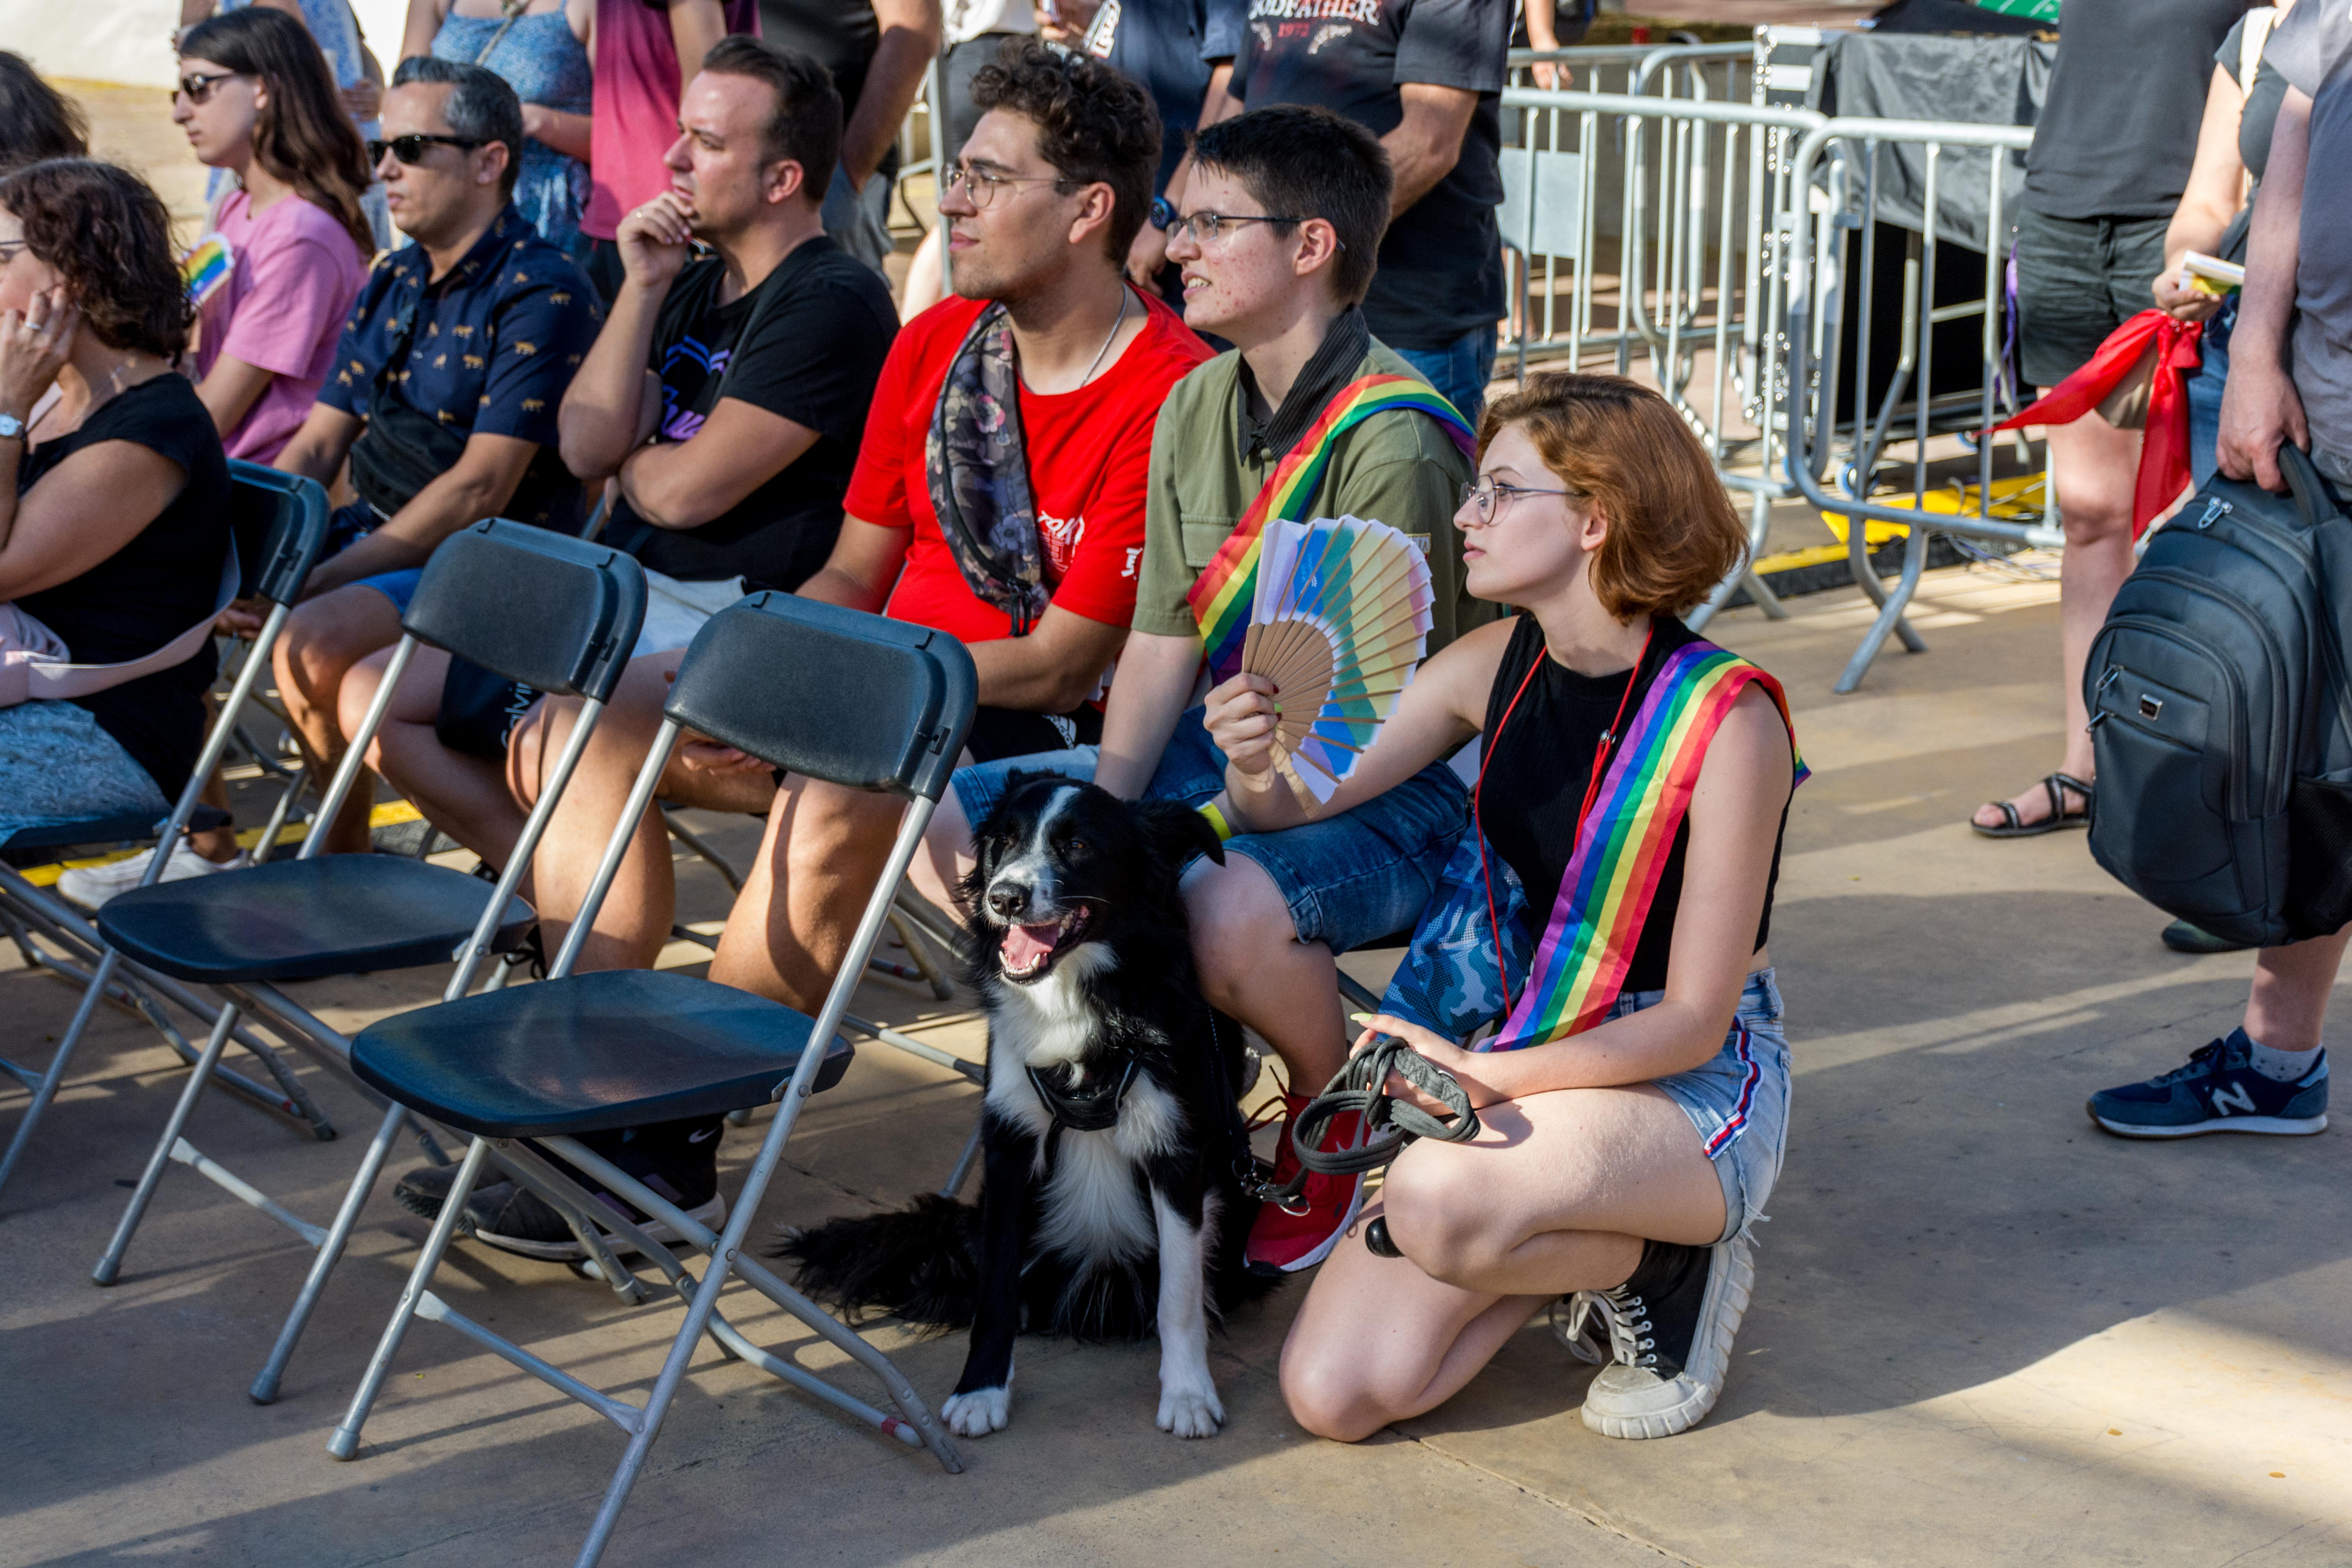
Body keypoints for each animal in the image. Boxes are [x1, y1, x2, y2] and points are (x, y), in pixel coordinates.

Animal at [781, 780, 1270, 1439]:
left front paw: (1189, 1395)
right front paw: (982, 1390)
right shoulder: (1009, 1146)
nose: (1004, 898)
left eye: (1080, 845)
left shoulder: (1176, 1155)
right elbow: (995, 1292)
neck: (1072, 995)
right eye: (1005, 841)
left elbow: (1180, 1295)